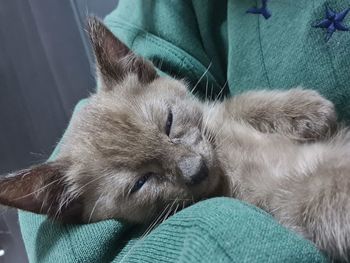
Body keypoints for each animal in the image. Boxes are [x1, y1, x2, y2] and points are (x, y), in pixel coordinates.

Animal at [0, 18, 350, 262]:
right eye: (140, 183)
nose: (196, 169)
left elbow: (236, 103)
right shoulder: (282, 196)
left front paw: (306, 108)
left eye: (168, 123)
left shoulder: (215, 114)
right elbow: (314, 195)